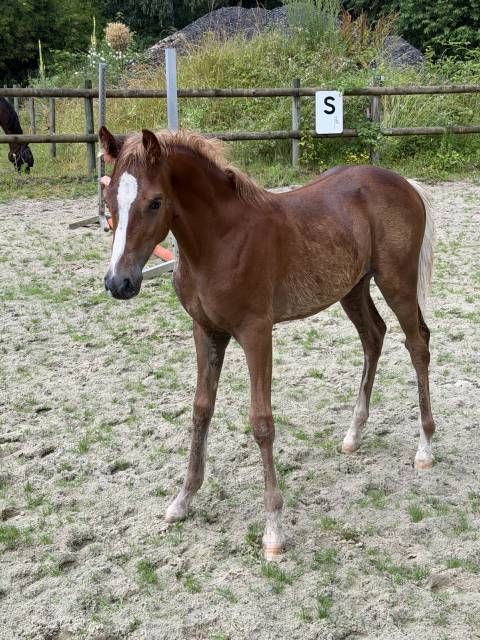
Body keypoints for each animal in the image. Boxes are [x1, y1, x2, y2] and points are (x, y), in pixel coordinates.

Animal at [98, 125, 436, 561]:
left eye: (155, 202)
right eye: (109, 202)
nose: (118, 283)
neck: (220, 241)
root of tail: (405, 183)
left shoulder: (256, 333)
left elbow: (261, 422)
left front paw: (273, 529)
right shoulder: (205, 331)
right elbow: (201, 410)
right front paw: (183, 499)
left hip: (397, 282)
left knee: (418, 344)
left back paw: (425, 447)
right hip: (353, 288)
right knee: (374, 336)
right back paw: (353, 435)